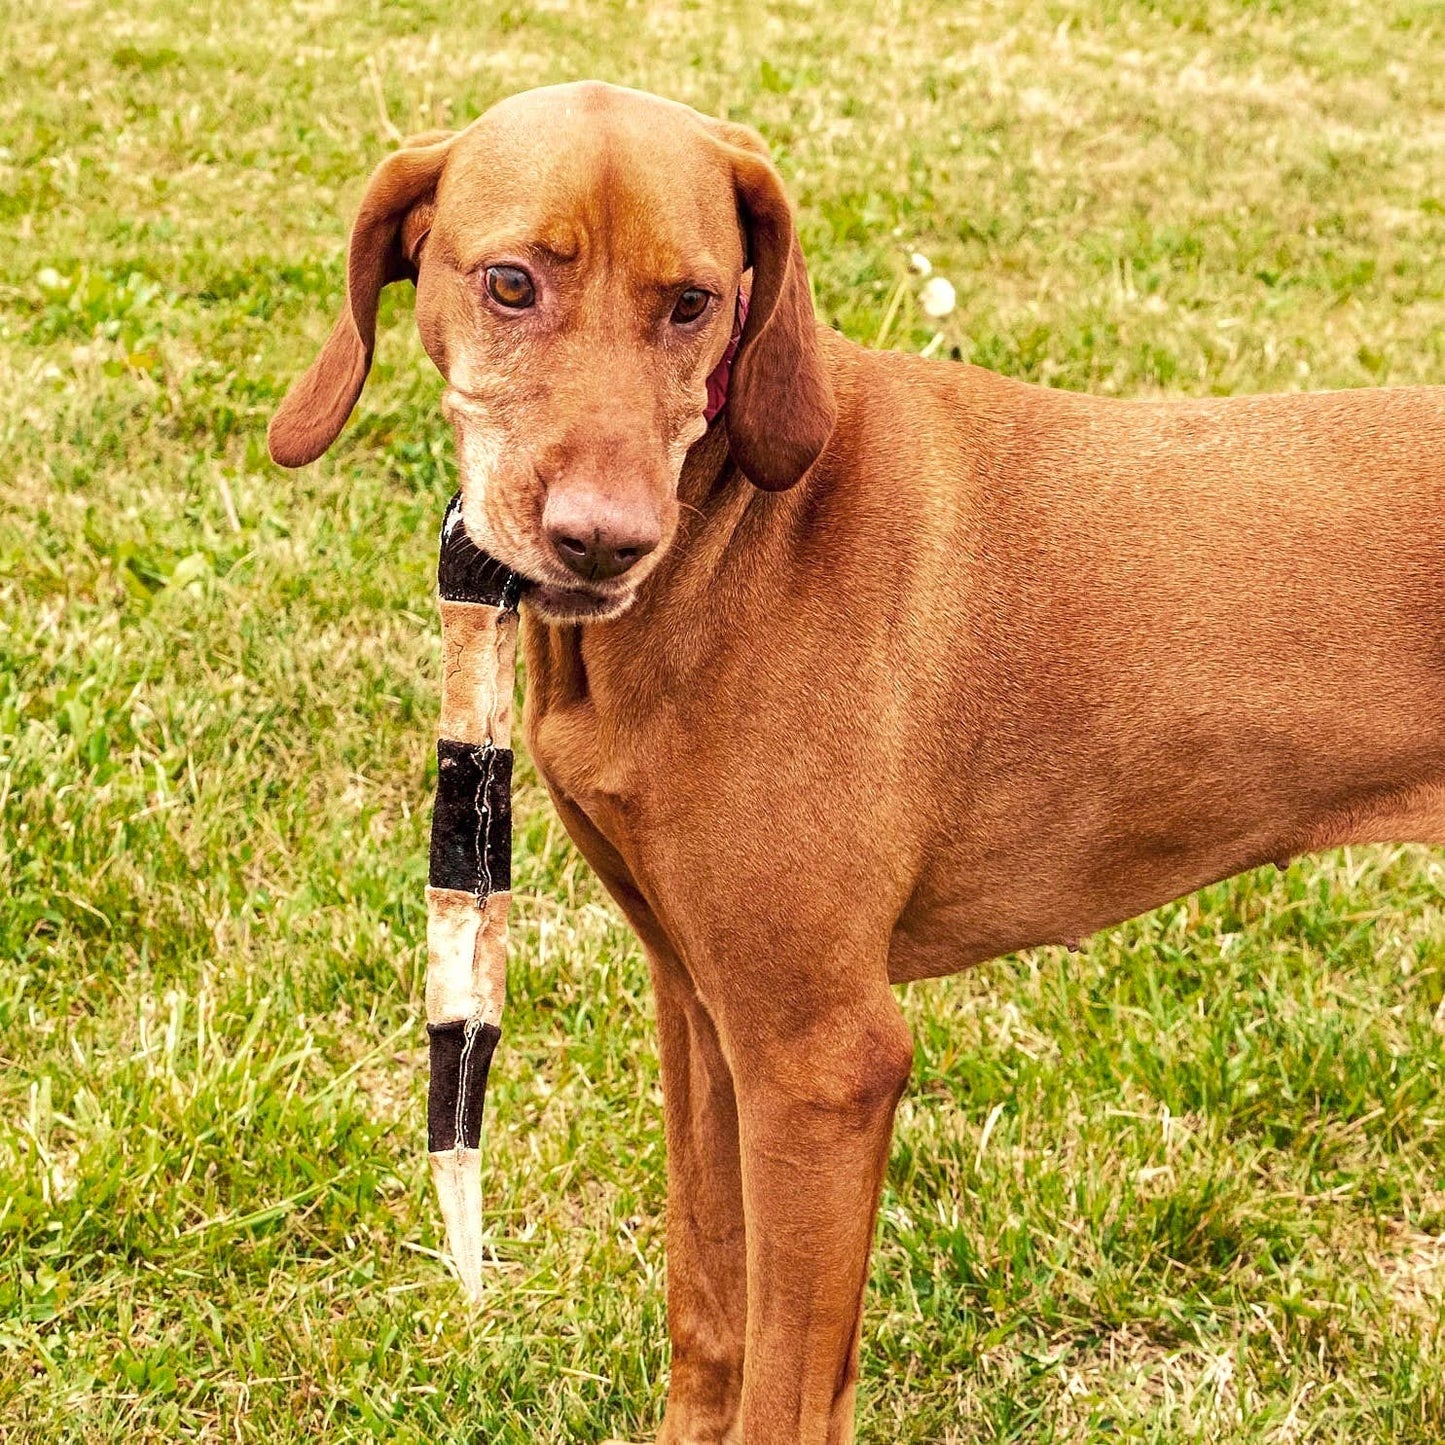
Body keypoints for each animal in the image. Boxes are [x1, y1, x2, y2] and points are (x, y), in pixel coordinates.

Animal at [271, 82, 1445, 1445]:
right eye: (510, 282)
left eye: (694, 302)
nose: (604, 543)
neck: (727, 539)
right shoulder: (704, 1009)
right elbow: (707, 1316)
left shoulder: (823, 1056)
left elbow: (785, 1389)